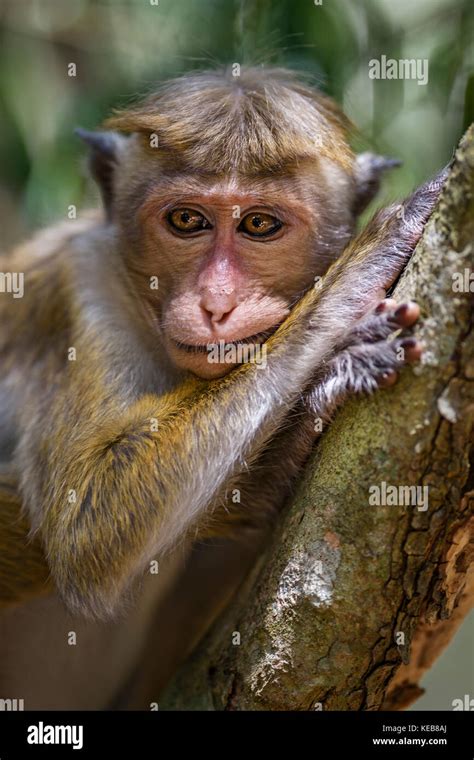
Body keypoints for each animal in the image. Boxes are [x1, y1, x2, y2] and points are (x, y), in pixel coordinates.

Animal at [0, 68, 446, 708]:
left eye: (260, 225)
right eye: (187, 221)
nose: (216, 303)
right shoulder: (77, 291)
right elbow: (89, 519)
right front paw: (373, 253)